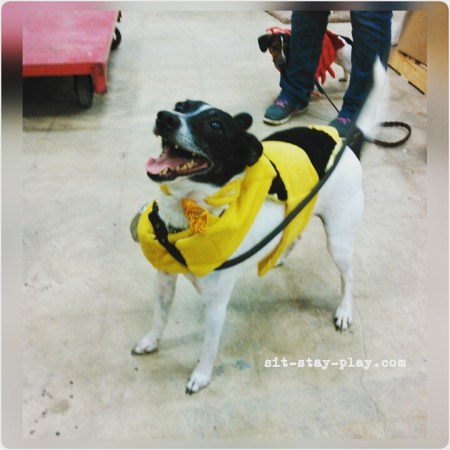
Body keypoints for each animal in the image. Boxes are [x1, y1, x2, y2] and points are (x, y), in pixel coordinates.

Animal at [130, 59, 386, 394]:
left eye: (215, 125)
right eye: (180, 106)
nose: (165, 117)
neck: (195, 211)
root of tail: (348, 144)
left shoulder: (215, 305)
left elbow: (208, 346)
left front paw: (201, 376)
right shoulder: (164, 279)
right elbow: (159, 318)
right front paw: (150, 341)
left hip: (339, 240)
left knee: (348, 276)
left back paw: (344, 311)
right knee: (295, 234)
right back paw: (280, 255)